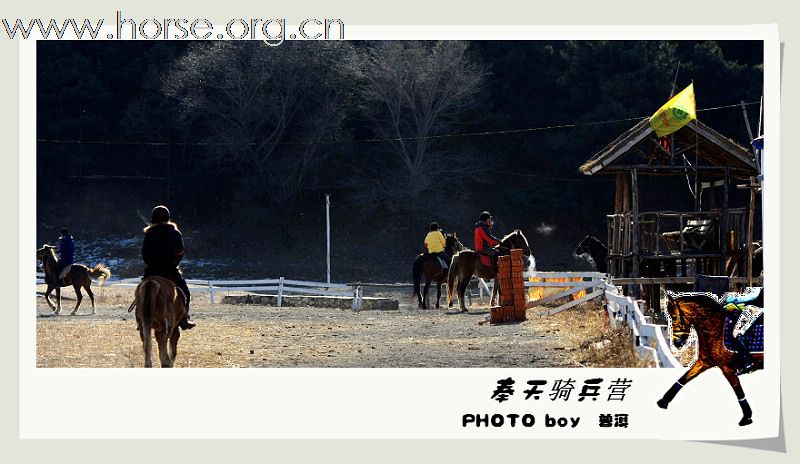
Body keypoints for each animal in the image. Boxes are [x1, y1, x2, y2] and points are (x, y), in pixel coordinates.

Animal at [660, 292, 764, 426]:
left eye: (674, 317)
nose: (677, 343)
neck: (715, 328)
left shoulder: (727, 369)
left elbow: (739, 392)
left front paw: (747, 417)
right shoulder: (704, 362)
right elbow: (683, 379)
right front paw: (663, 401)